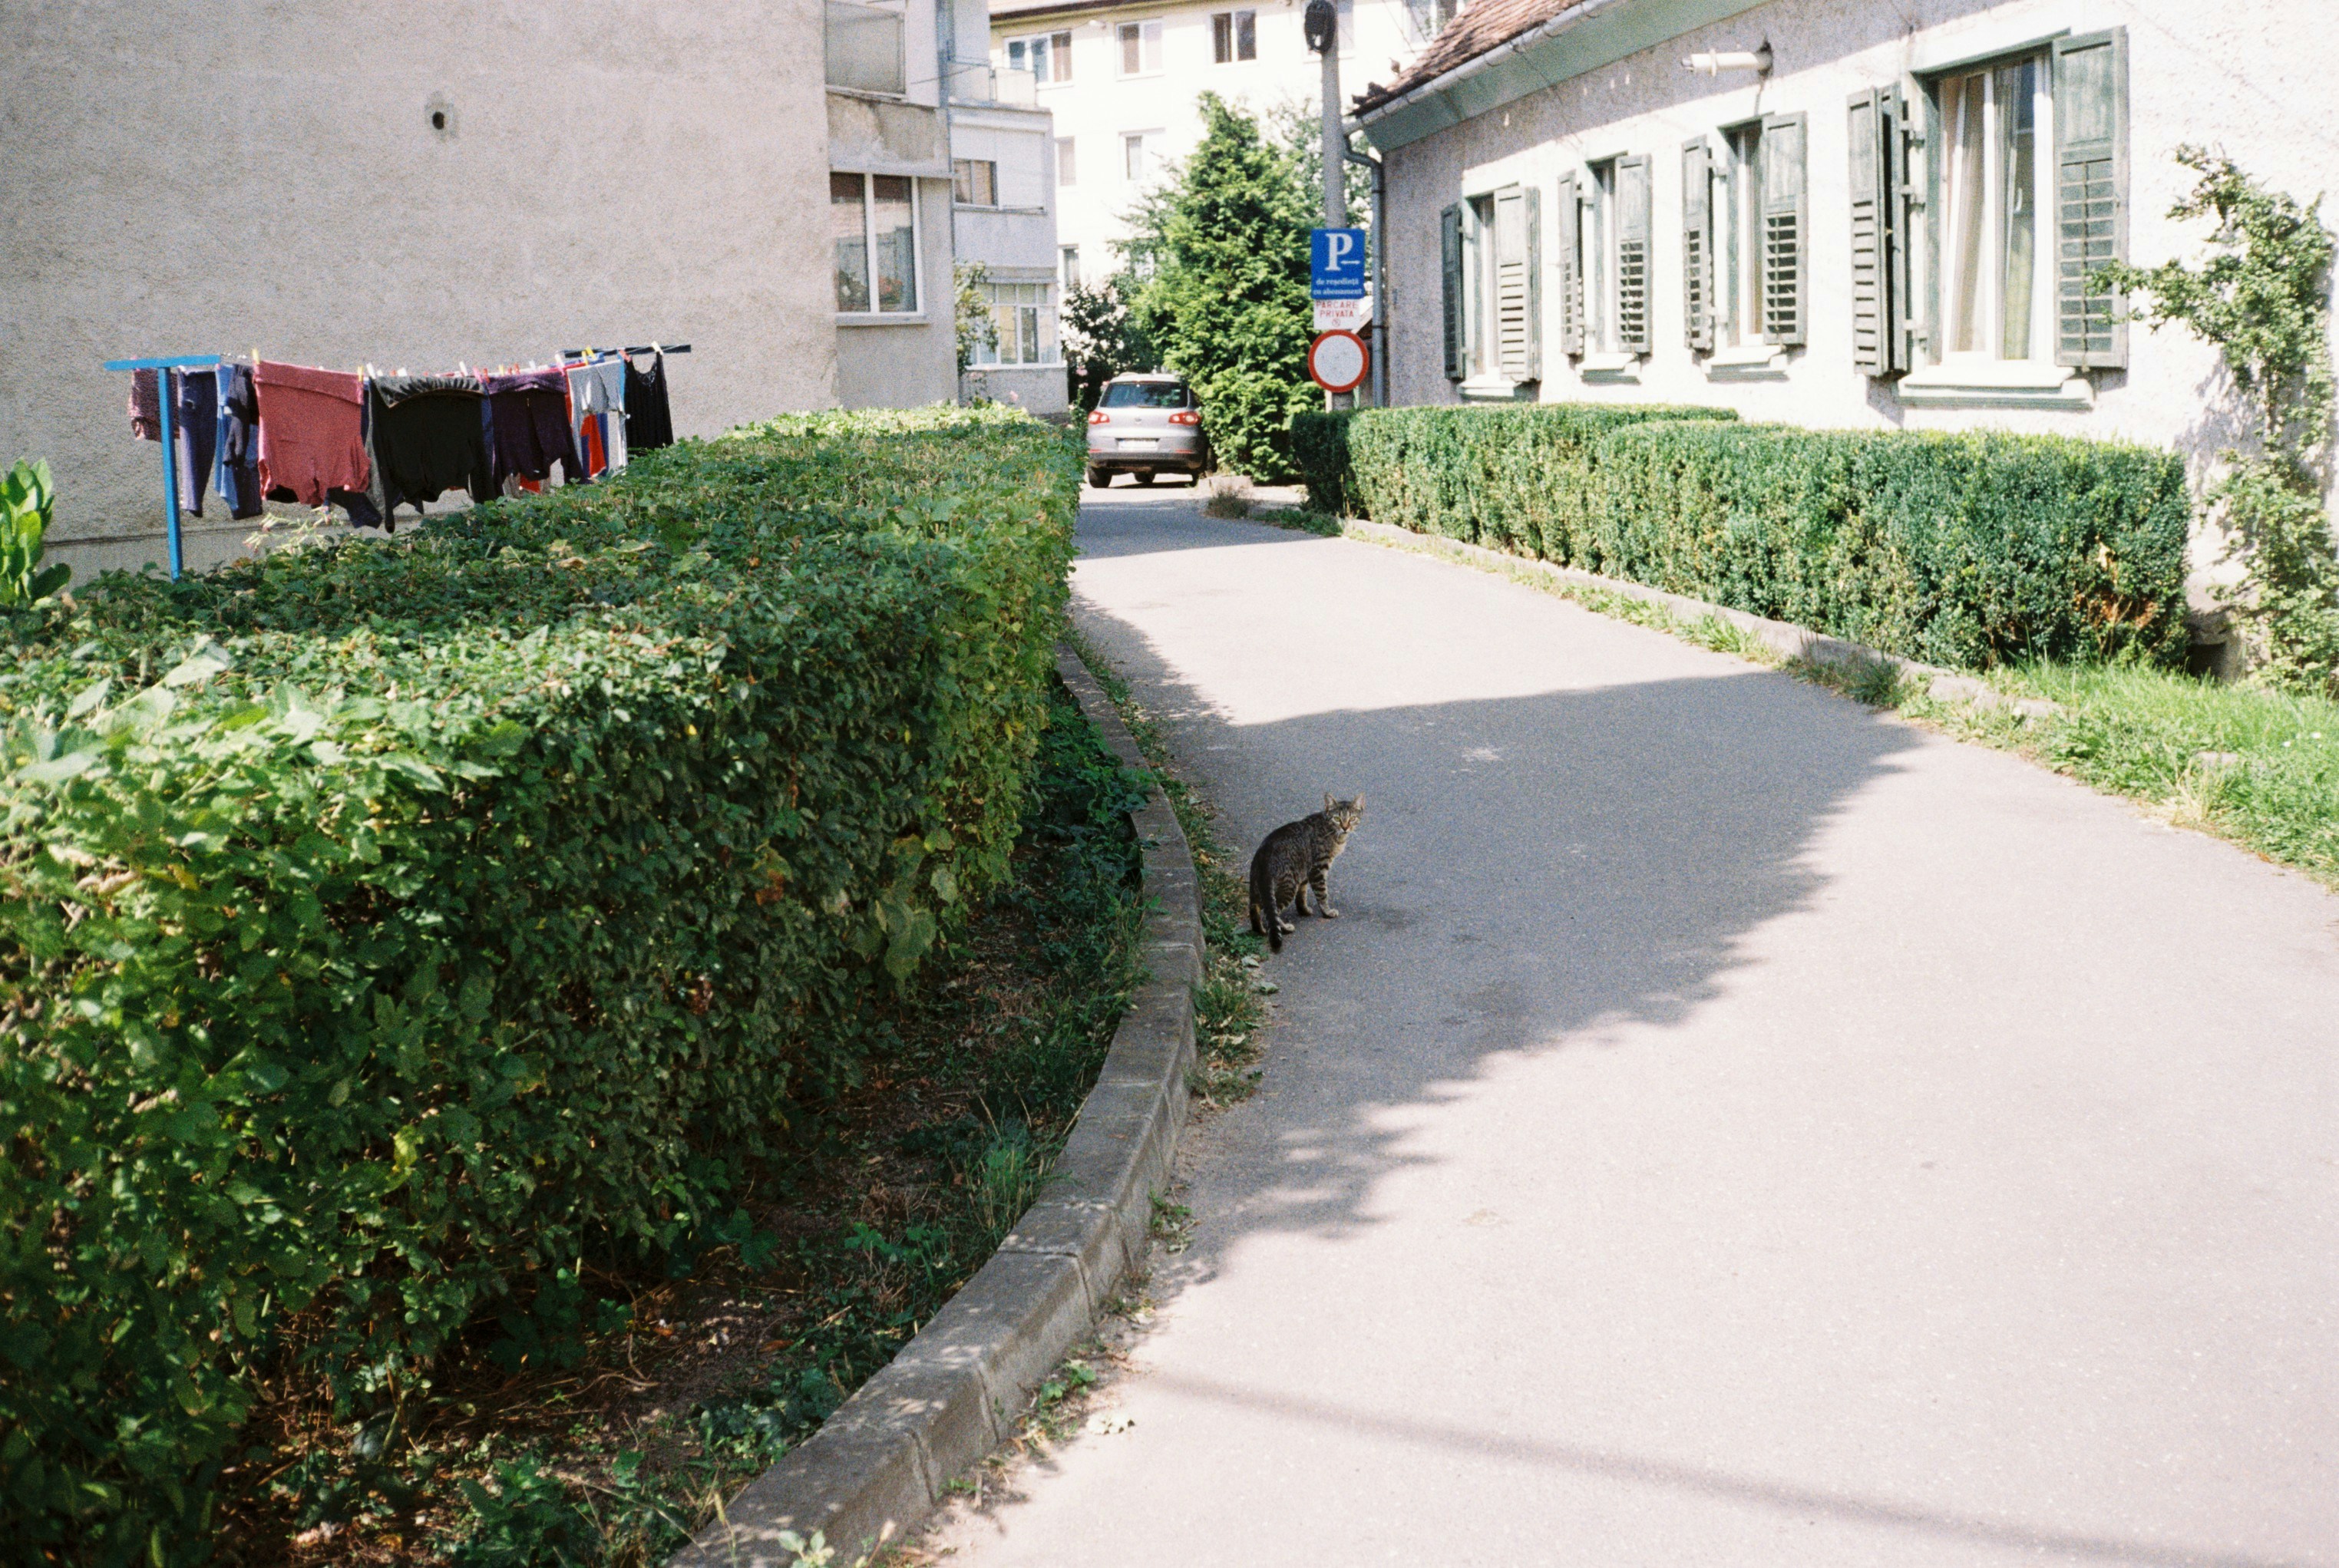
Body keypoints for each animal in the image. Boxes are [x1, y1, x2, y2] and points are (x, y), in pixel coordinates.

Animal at [1248, 793, 1366, 953]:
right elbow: (1322, 894)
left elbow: (1302, 895)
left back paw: (1259, 930)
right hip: (1288, 886)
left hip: (1258, 886)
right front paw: (1327, 912)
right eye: (1337, 818)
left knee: (1254, 908)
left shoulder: (1304, 874)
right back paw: (1285, 928)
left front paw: (1304, 910)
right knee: (1273, 913)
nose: (1345, 827)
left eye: (1352, 818)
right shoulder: (1318, 869)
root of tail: (1264, 853)